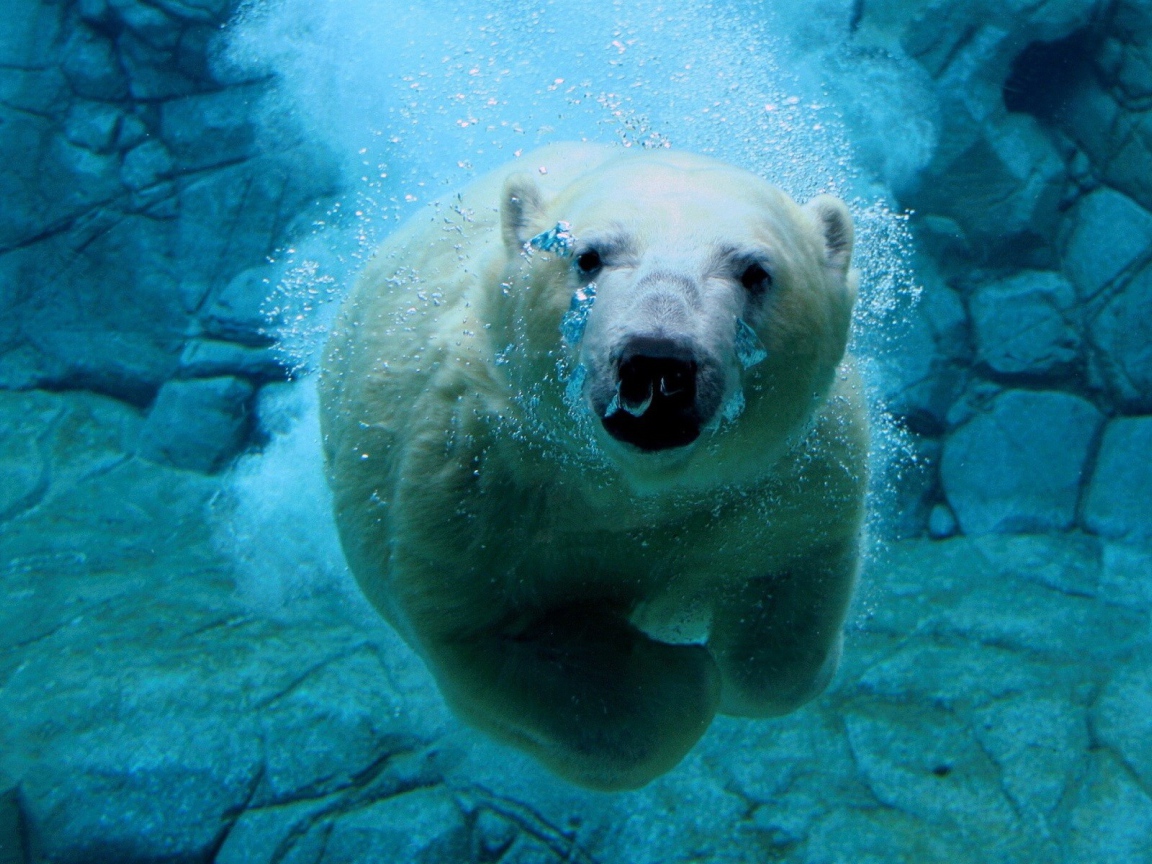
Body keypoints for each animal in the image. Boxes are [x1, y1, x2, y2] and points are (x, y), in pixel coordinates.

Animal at [319, 142, 867, 791]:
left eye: (755, 271)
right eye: (587, 256)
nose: (658, 362)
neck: (633, 487)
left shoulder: (787, 475)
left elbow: (788, 598)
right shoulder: (475, 480)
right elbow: (494, 634)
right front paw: (682, 676)